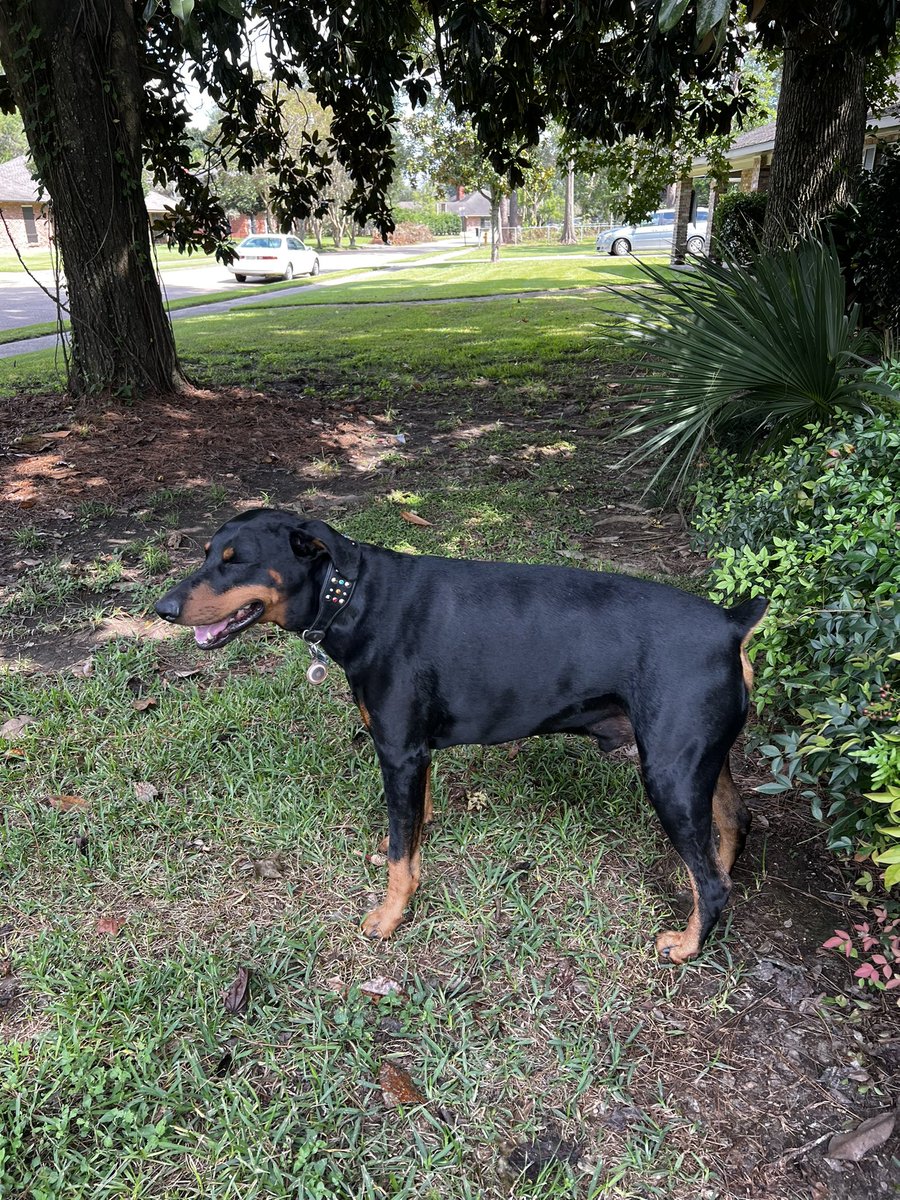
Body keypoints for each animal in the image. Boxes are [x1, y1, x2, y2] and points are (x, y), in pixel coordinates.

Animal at [154, 511, 768, 960]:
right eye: (206, 553)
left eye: (236, 561)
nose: (162, 609)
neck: (354, 597)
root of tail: (731, 623)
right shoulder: (416, 755)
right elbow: (411, 829)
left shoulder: (398, 752)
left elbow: (401, 856)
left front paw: (389, 917)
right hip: (698, 764)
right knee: (732, 826)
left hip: (668, 773)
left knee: (713, 882)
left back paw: (686, 943)